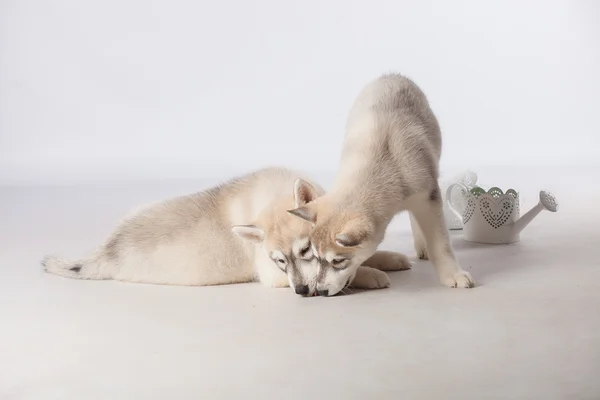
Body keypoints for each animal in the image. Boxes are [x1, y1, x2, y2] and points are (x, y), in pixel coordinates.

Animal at [42, 167, 412, 296]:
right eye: (279, 261)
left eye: (305, 251)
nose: (302, 292)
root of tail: (106, 250)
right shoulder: (272, 277)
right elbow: (352, 268)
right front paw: (371, 274)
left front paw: (388, 258)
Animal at [288, 73, 476, 296]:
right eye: (315, 256)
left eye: (338, 261)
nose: (322, 291)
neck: (382, 165)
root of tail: (392, 75)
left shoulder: (428, 197)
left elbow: (441, 243)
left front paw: (453, 274)